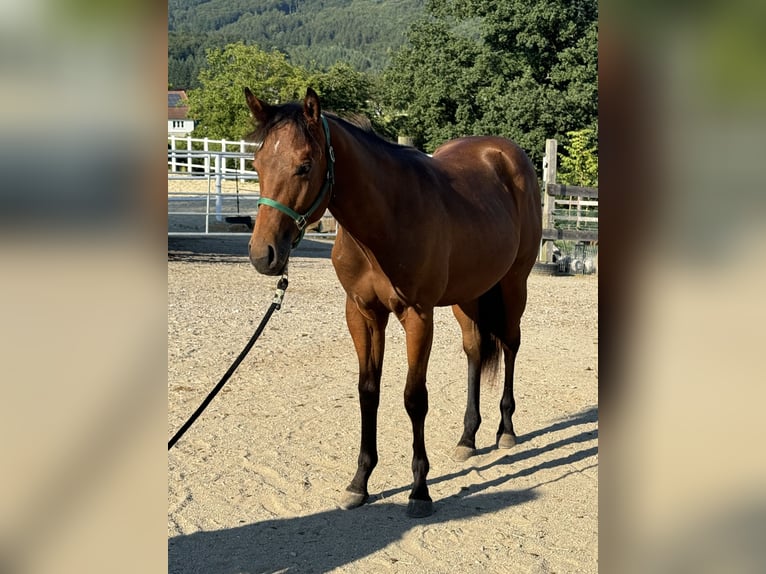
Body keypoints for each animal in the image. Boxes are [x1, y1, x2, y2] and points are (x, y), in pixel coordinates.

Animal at [243, 86, 544, 520]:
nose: (262, 255)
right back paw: (468, 438)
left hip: (513, 284)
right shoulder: (362, 313)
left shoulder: (417, 316)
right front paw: (359, 482)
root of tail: (506, 153)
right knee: (474, 349)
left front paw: (420, 490)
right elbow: (368, 391)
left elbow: (414, 399)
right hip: (468, 295)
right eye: (257, 163)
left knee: (510, 344)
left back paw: (506, 431)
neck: (385, 221)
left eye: (304, 165)